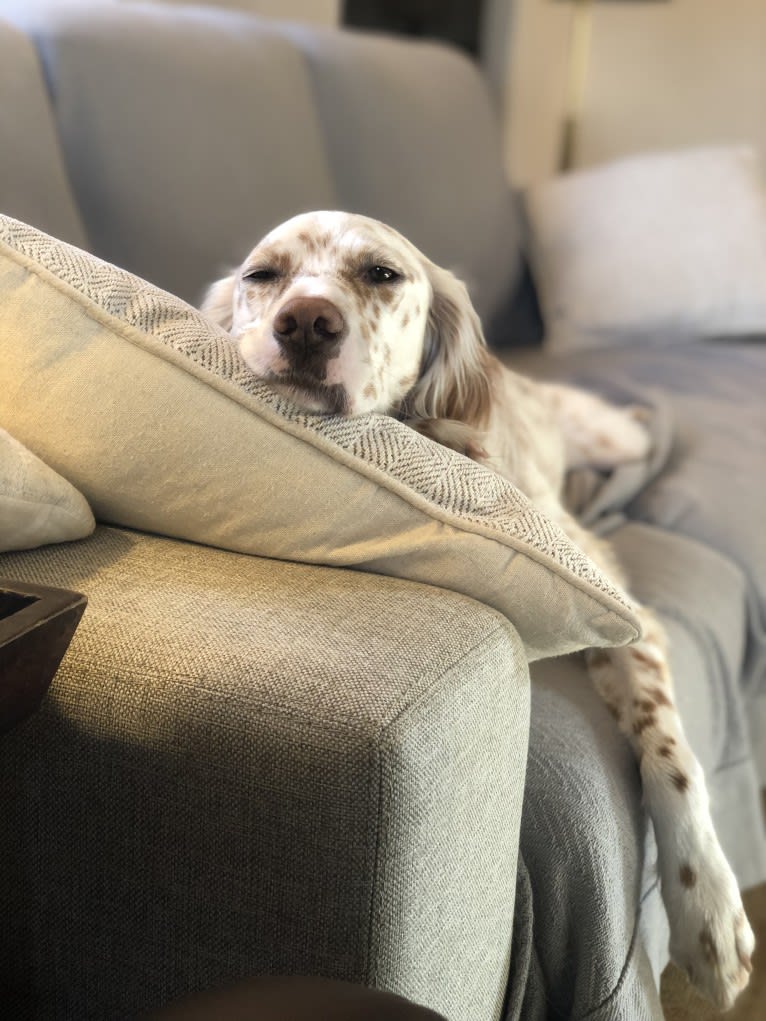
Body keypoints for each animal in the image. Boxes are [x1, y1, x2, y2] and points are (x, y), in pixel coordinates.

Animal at [204, 209, 755, 1012]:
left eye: (381, 273)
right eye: (262, 276)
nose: (305, 322)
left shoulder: (631, 618)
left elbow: (673, 754)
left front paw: (707, 905)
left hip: (614, 434)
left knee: (643, 436)